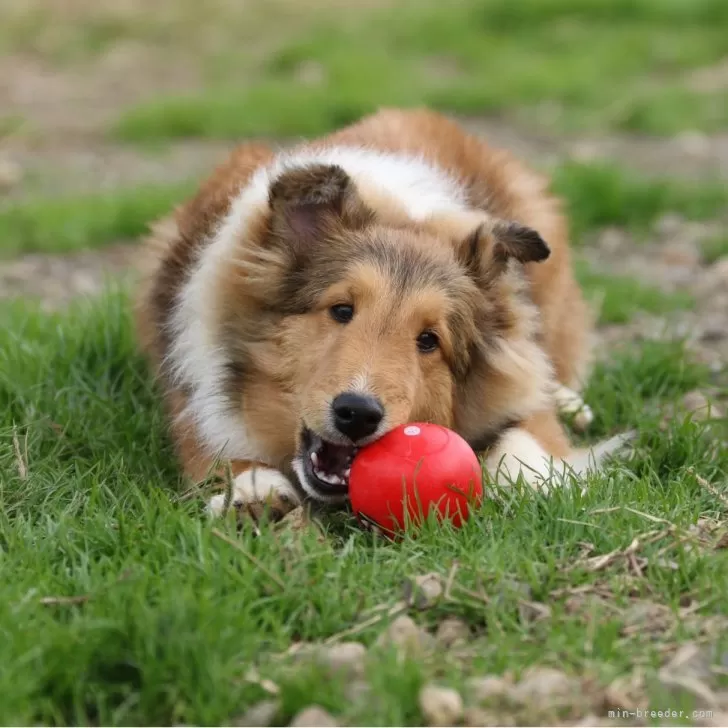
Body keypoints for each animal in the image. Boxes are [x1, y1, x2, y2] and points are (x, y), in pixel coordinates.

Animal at [134, 108, 628, 520]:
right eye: (341, 310)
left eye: (429, 340)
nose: (357, 414)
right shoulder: (189, 389)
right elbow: (211, 443)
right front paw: (253, 487)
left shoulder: (517, 382)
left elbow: (528, 432)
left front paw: (532, 481)